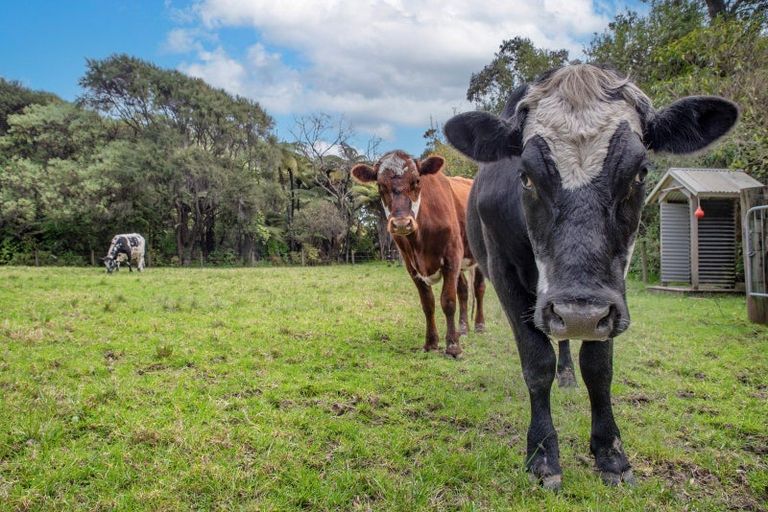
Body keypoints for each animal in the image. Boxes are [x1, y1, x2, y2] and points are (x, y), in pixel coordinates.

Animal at [352, 149, 484, 356]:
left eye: (416, 181)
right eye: (380, 185)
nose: (401, 223)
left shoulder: (452, 256)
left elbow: (448, 301)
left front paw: (453, 347)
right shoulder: (411, 265)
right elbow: (428, 303)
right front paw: (431, 343)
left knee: (478, 288)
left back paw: (479, 325)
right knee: (463, 290)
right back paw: (463, 328)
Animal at [444, 64, 736, 488]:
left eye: (640, 173)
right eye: (525, 176)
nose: (578, 312)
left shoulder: (611, 294)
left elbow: (598, 368)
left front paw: (610, 455)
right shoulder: (503, 272)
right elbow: (537, 363)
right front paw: (542, 454)